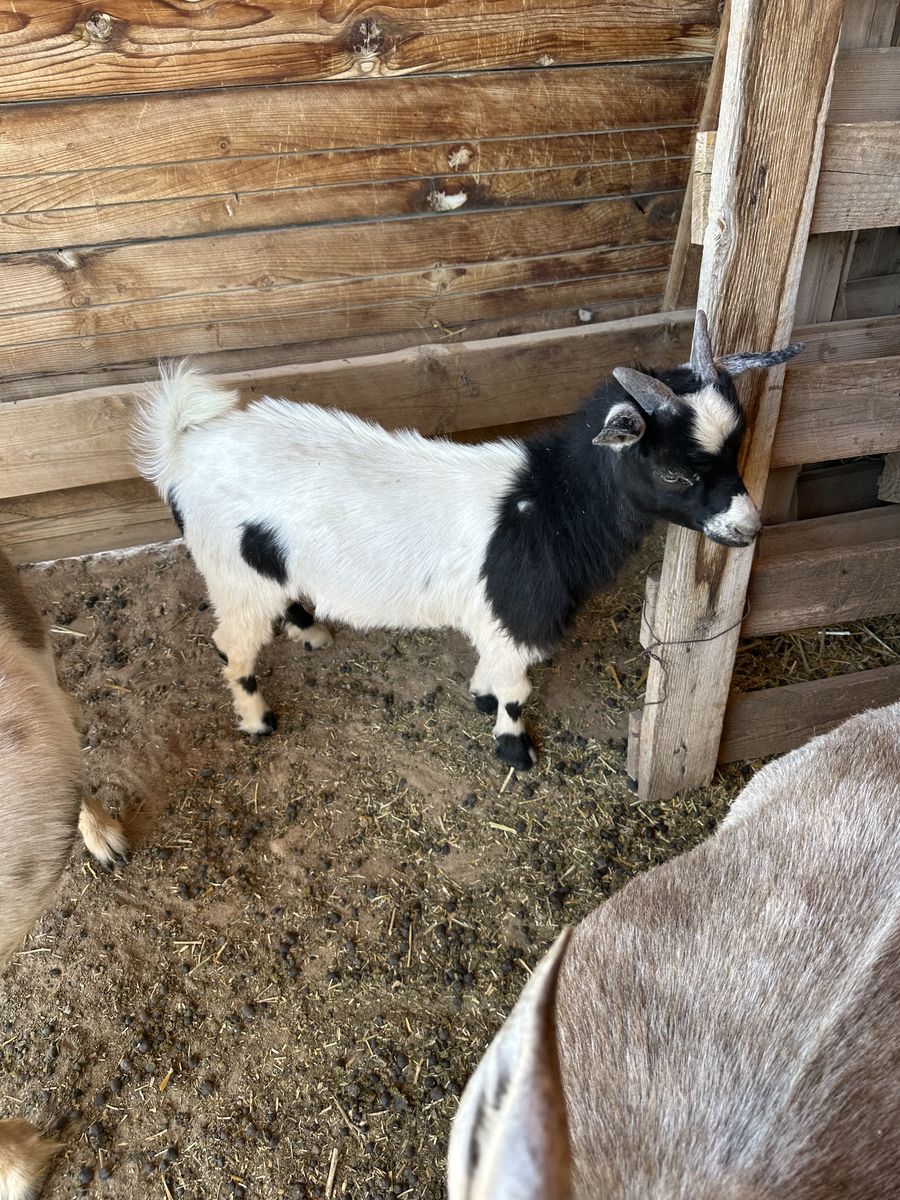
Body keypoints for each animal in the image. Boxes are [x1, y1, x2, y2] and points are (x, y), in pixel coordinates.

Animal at [134, 312, 800, 768]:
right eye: (674, 475)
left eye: (736, 455)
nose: (747, 527)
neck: (546, 506)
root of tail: (183, 449)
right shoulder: (517, 614)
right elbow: (517, 690)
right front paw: (514, 751)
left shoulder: (496, 615)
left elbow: (492, 671)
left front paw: (480, 697)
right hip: (234, 574)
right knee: (231, 646)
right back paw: (257, 720)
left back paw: (310, 631)